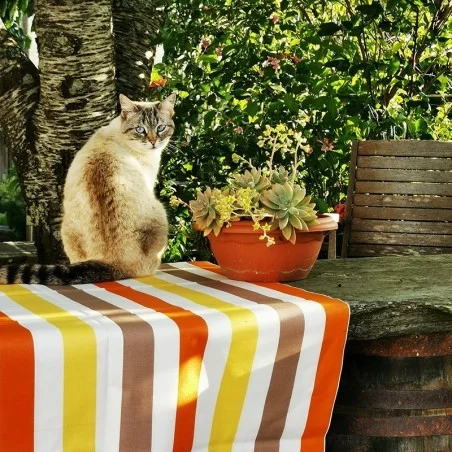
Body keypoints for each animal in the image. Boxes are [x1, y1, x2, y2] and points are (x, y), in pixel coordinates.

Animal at [0, 93, 175, 284]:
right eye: (140, 130)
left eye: (160, 128)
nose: (153, 142)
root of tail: (113, 262)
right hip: (161, 210)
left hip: (65, 229)